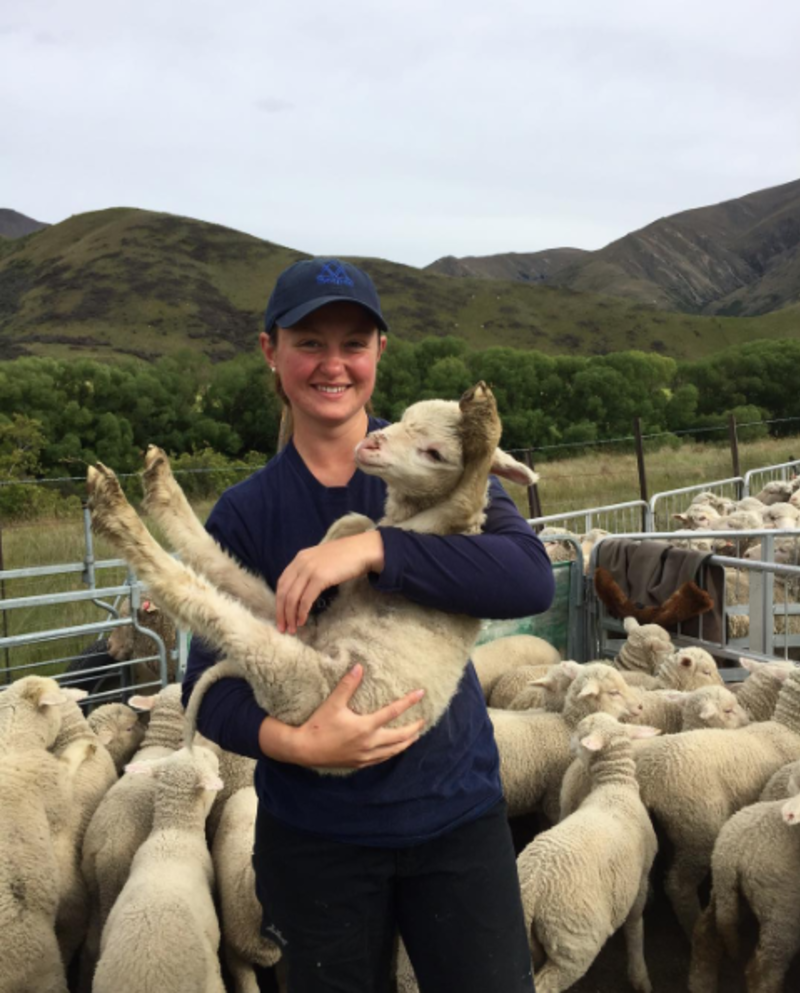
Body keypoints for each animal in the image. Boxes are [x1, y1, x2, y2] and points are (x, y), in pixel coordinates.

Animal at [85, 383, 539, 773]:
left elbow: (464, 495)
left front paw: (483, 426)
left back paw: (117, 513)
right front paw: (329, 544)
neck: (412, 514)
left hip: (294, 674)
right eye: (405, 417)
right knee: (215, 563)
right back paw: (156, 485)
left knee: (196, 596)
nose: (370, 444)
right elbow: (359, 520)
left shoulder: (449, 522)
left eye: (434, 452)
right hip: (297, 626)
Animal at [517, 713, 660, 993]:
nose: (569, 744)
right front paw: (639, 975)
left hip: (527, 943)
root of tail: (532, 888)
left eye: (581, 731)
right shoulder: (641, 878)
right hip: (574, 940)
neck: (615, 786)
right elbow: (635, 925)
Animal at [634, 666, 800, 937]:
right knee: (678, 884)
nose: (747, 719)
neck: (788, 727)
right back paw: (692, 927)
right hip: (697, 827)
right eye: (729, 709)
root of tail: (649, 781)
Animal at [688, 775, 800, 993]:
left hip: (726, 894)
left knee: (705, 934)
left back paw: (700, 984)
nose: (789, 814)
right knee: (763, 971)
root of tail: (730, 851)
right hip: (783, 909)